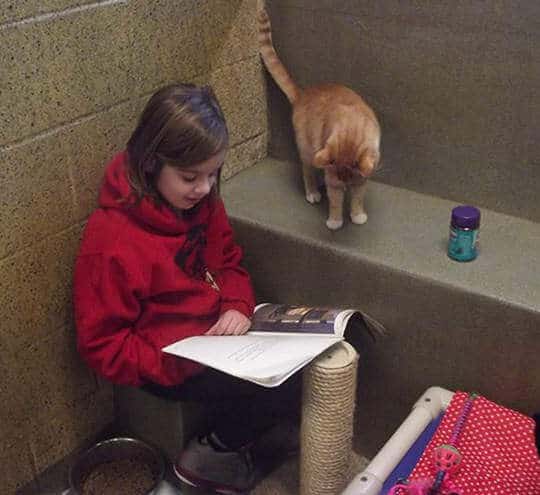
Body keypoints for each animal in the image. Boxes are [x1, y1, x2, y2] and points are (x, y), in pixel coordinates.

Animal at [256, 2, 380, 231]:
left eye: (349, 178)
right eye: (340, 179)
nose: (343, 184)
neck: (352, 129)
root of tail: (302, 94)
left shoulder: (360, 179)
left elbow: (357, 199)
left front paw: (357, 215)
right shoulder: (334, 179)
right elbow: (335, 201)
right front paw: (335, 221)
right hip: (307, 150)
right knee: (307, 171)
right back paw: (313, 191)